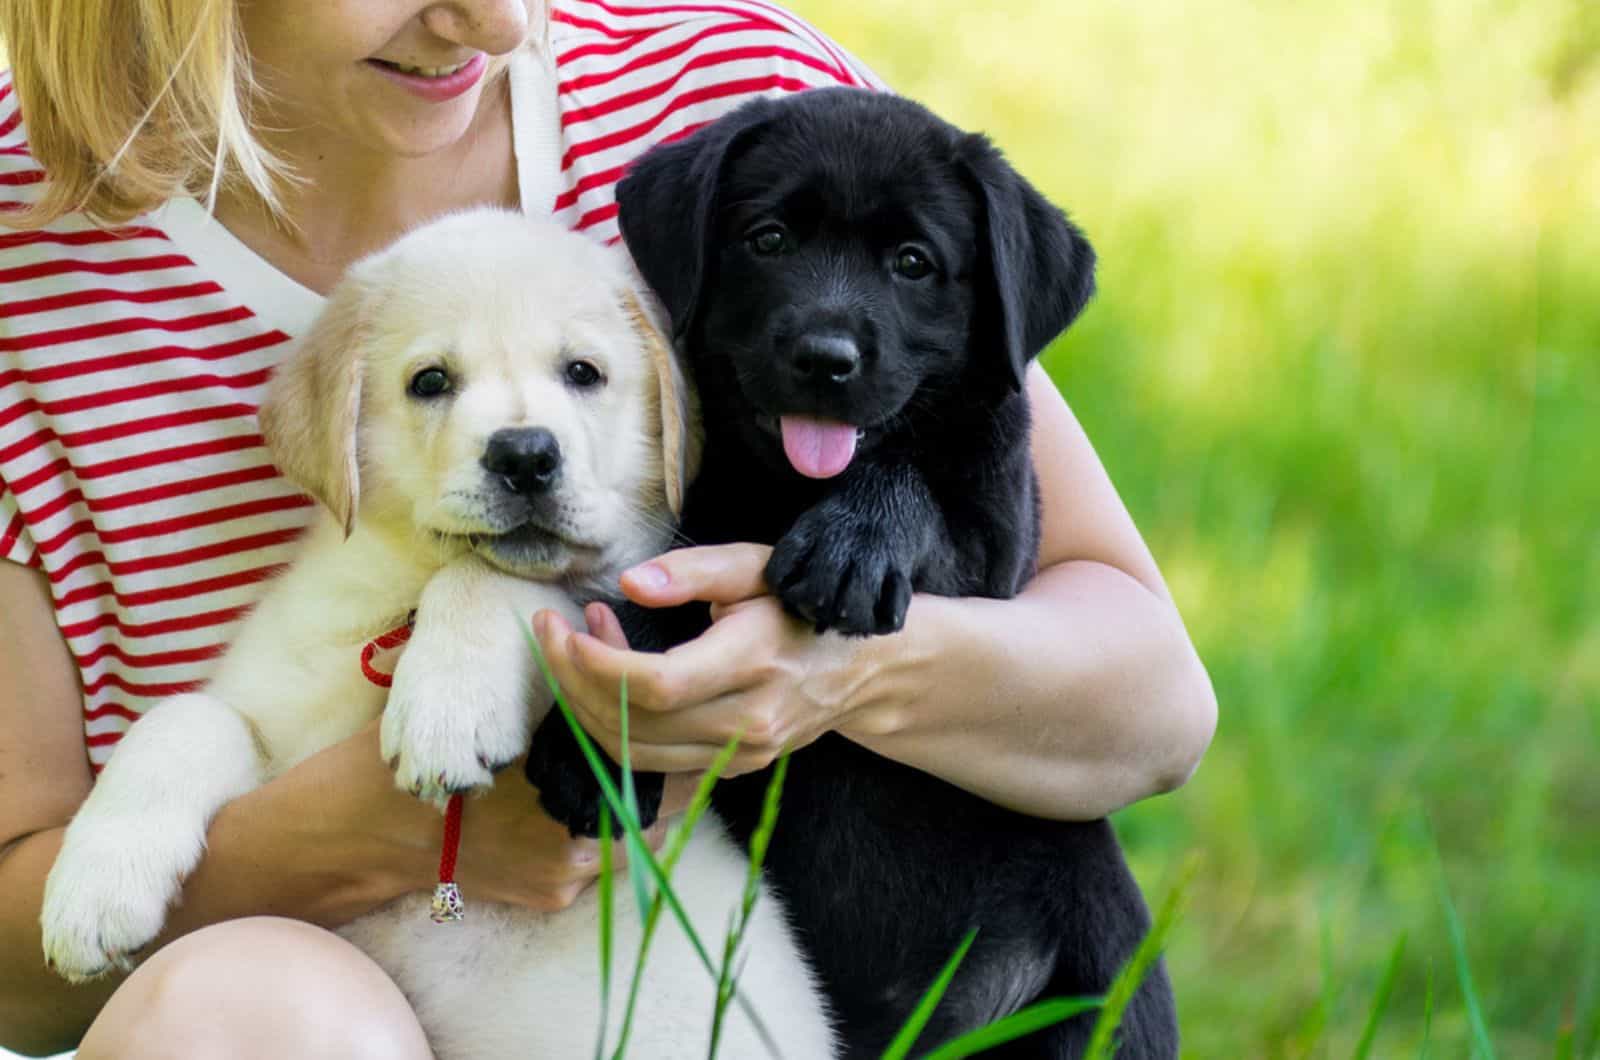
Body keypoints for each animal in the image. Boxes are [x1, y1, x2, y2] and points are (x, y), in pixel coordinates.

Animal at [528, 87, 1177, 1056]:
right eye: (767, 239)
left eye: (913, 264)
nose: (825, 358)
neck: (787, 487)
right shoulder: (689, 521)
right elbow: (656, 596)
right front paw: (589, 746)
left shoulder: (992, 549)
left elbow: (905, 486)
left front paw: (852, 545)